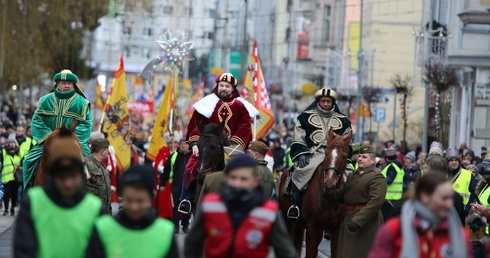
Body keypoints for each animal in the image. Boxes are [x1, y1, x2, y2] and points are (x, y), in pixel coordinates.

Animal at [278, 127, 350, 258]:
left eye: (344, 156)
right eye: (326, 153)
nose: (329, 184)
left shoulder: (336, 228)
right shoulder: (312, 228)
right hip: (289, 222)